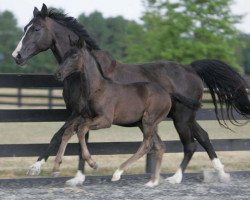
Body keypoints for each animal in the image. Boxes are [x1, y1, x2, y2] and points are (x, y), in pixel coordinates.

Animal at [12, 3, 250, 186]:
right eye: (25, 27)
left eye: (36, 29)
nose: (17, 56)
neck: (83, 74)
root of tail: (191, 69)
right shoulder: (80, 112)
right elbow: (73, 136)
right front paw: (75, 175)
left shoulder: (80, 112)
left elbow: (62, 135)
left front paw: (38, 168)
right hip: (184, 117)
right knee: (203, 137)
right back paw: (221, 174)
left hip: (181, 118)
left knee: (190, 144)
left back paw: (175, 178)